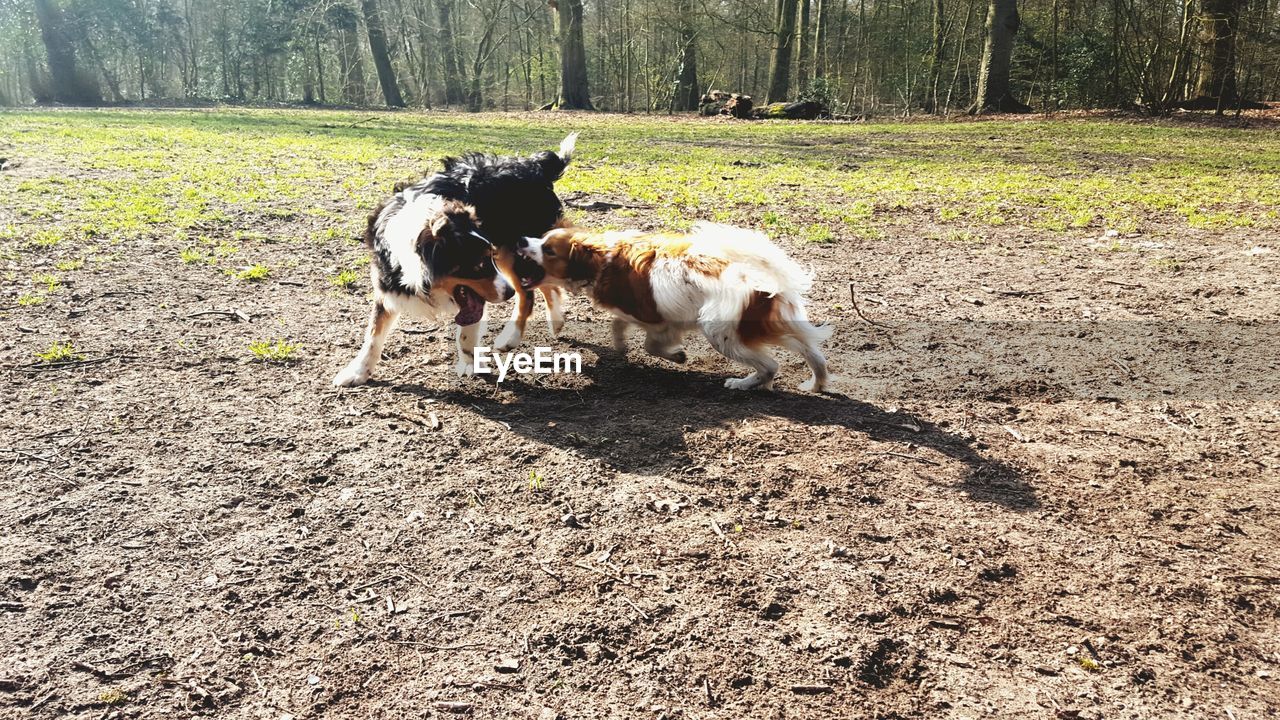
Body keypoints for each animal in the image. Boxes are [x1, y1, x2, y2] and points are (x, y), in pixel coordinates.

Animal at [330, 131, 576, 384]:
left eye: (485, 260)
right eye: (478, 264)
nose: (507, 293)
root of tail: (534, 165)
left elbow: (467, 333)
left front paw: (469, 362)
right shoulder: (388, 285)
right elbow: (373, 334)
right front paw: (358, 371)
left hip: (514, 249)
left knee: (528, 292)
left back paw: (511, 337)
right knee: (543, 284)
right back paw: (555, 321)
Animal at [517, 221, 829, 389]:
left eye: (548, 249)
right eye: (541, 238)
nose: (520, 240)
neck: (600, 261)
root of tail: (754, 277)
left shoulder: (659, 322)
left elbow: (650, 345)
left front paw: (676, 356)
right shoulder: (636, 312)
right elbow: (619, 326)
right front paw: (621, 346)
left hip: (720, 334)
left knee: (771, 364)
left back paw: (743, 383)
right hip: (769, 328)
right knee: (813, 354)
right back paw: (816, 384)